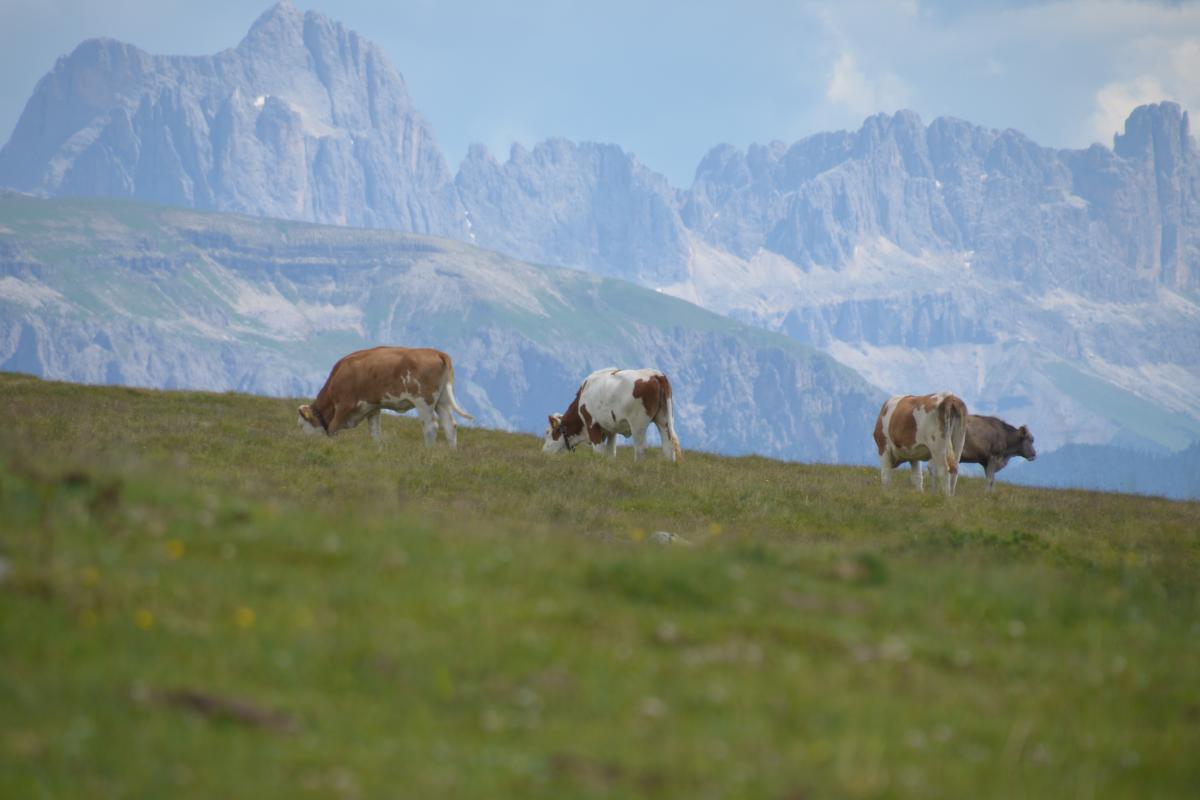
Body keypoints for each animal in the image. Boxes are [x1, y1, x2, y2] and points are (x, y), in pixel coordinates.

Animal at [295, 345, 472, 448]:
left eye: (301, 425)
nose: (304, 443)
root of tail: (437, 352)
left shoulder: (344, 405)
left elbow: (332, 428)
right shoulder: (372, 407)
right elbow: (374, 432)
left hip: (424, 401)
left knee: (431, 426)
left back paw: (428, 451)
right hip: (442, 400)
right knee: (450, 425)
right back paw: (451, 453)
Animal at [547, 369, 686, 462]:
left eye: (548, 433)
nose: (544, 452)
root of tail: (654, 374)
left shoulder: (592, 423)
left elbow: (599, 452)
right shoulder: (610, 430)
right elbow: (611, 453)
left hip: (638, 423)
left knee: (641, 449)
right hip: (664, 419)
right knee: (668, 448)